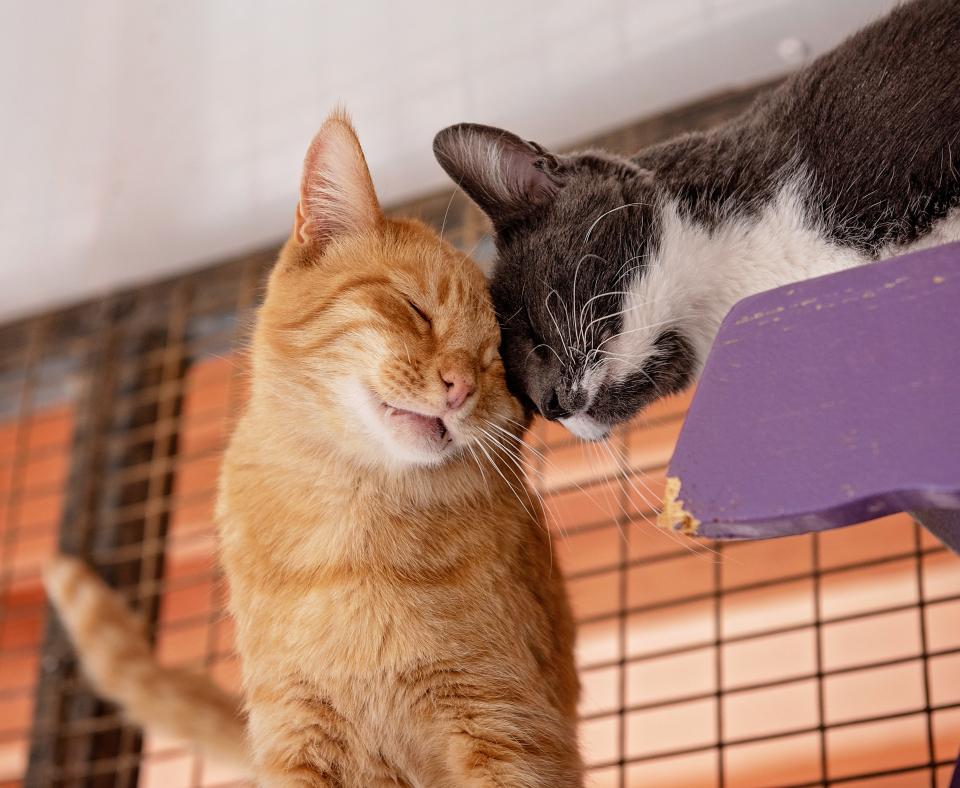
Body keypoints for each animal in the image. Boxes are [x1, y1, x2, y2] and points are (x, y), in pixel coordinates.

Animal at [43, 111, 576, 788]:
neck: (352, 532)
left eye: (496, 364)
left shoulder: (508, 725)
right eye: (415, 309)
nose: (461, 386)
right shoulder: (300, 734)